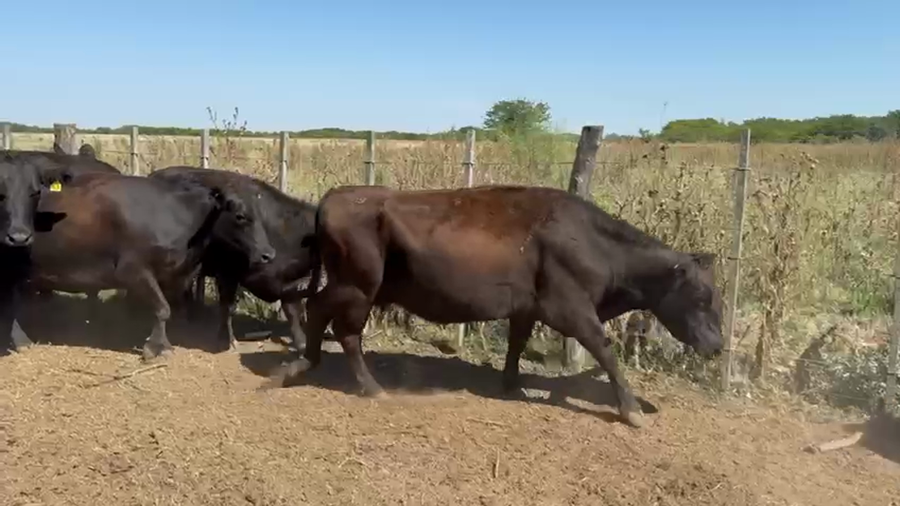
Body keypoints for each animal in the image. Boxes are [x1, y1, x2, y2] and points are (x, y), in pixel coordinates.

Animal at [11, 171, 276, 360]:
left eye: (261, 217)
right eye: (240, 216)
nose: (268, 254)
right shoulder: (133, 271)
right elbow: (163, 309)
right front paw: (156, 348)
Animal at [146, 166, 318, 352]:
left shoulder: (290, 281)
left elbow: (293, 311)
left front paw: (301, 343)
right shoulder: (227, 272)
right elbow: (227, 307)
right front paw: (226, 339)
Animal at [280, 184, 725, 428]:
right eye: (703, 298)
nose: (718, 346)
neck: (594, 244)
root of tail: (335, 196)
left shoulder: (526, 308)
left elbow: (516, 342)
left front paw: (512, 383)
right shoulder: (571, 310)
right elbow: (606, 352)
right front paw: (632, 411)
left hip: (352, 286)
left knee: (318, 309)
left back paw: (305, 362)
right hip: (358, 286)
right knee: (343, 329)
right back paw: (369, 386)